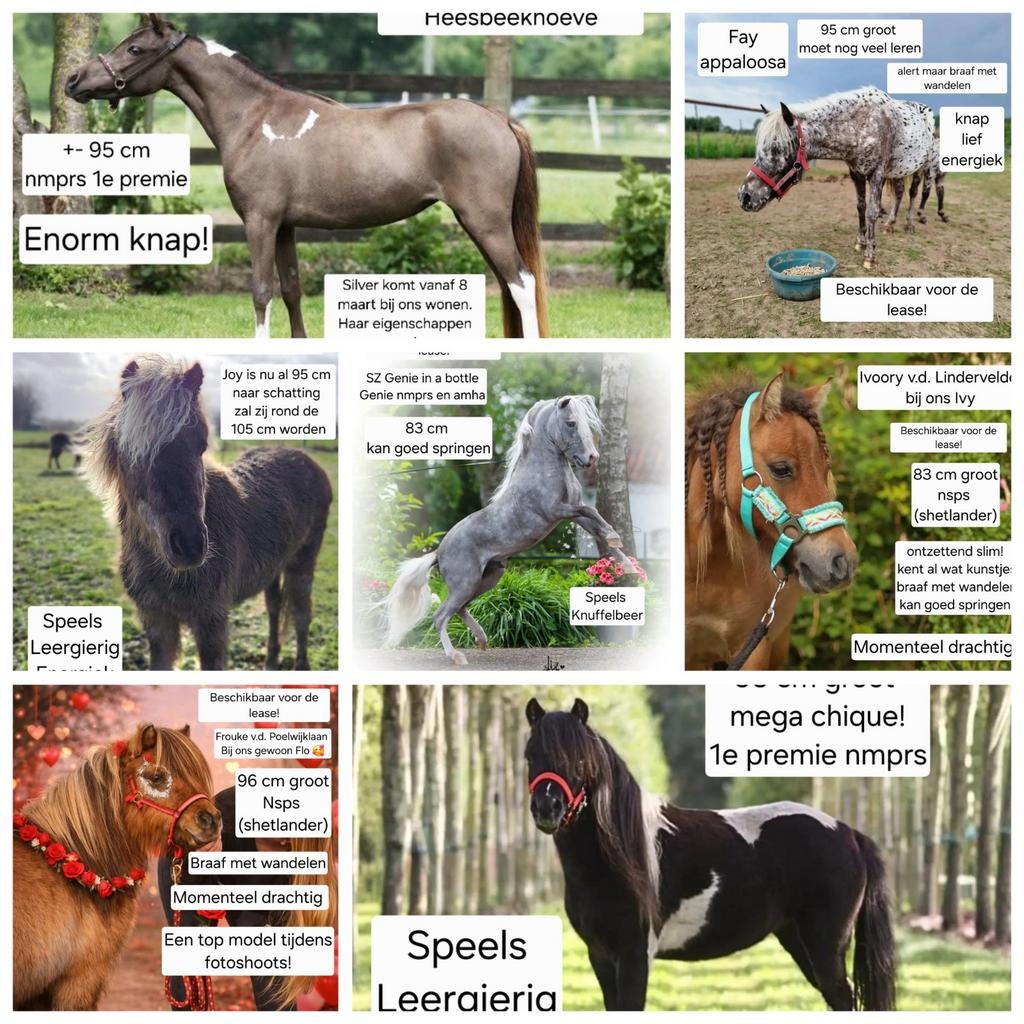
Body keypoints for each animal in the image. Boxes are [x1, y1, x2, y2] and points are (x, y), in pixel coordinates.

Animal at [65, 14, 549, 340]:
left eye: (134, 49)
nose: (73, 80)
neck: (255, 117)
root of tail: (499, 119)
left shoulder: (259, 222)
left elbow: (261, 292)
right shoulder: (285, 227)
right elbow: (293, 290)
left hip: (485, 222)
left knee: (522, 284)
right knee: (512, 285)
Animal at [83, 356, 332, 670]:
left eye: (201, 444)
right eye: (134, 449)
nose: (189, 546)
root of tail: (309, 462)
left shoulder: (211, 625)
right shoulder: (157, 623)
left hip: (303, 562)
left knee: (301, 613)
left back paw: (301, 664)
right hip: (274, 567)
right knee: (275, 607)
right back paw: (271, 661)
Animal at [383, 395, 634, 666]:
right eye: (571, 423)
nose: (592, 457)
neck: (543, 471)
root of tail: (438, 552)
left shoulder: (574, 513)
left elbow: (597, 525)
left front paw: (626, 562)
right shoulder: (557, 511)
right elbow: (591, 512)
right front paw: (616, 540)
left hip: (486, 579)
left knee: (459, 609)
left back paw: (482, 640)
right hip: (466, 583)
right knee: (441, 616)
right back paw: (457, 656)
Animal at [525, 698, 896, 1012]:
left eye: (579, 759)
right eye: (530, 755)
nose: (547, 808)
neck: (617, 860)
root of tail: (849, 833)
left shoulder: (634, 957)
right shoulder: (600, 956)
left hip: (825, 945)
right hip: (798, 941)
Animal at [738, 87, 934, 269]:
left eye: (777, 148)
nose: (744, 196)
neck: (862, 125)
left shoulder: (876, 174)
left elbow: (872, 212)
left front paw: (870, 256)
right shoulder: (856, 173)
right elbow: (861, 207)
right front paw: (860, 242)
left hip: (921, 167)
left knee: (914, 192)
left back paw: (910, 224)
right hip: (896, 171)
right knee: (899, 192)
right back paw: (890, 224)